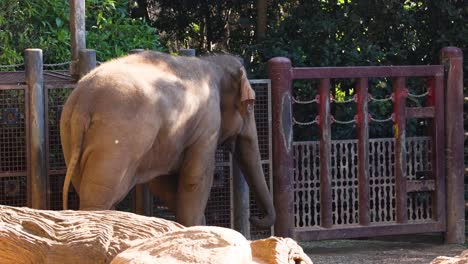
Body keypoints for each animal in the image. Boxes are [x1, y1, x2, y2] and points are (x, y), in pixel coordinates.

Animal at [60, 50, 276, 228]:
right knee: (100, 196)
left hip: (70, 136)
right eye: (251, 104)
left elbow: (162, 183)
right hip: (114, 142)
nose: (253, 218)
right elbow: (195, 178)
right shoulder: (207, 124)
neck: (212, 62)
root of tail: (83, 102)